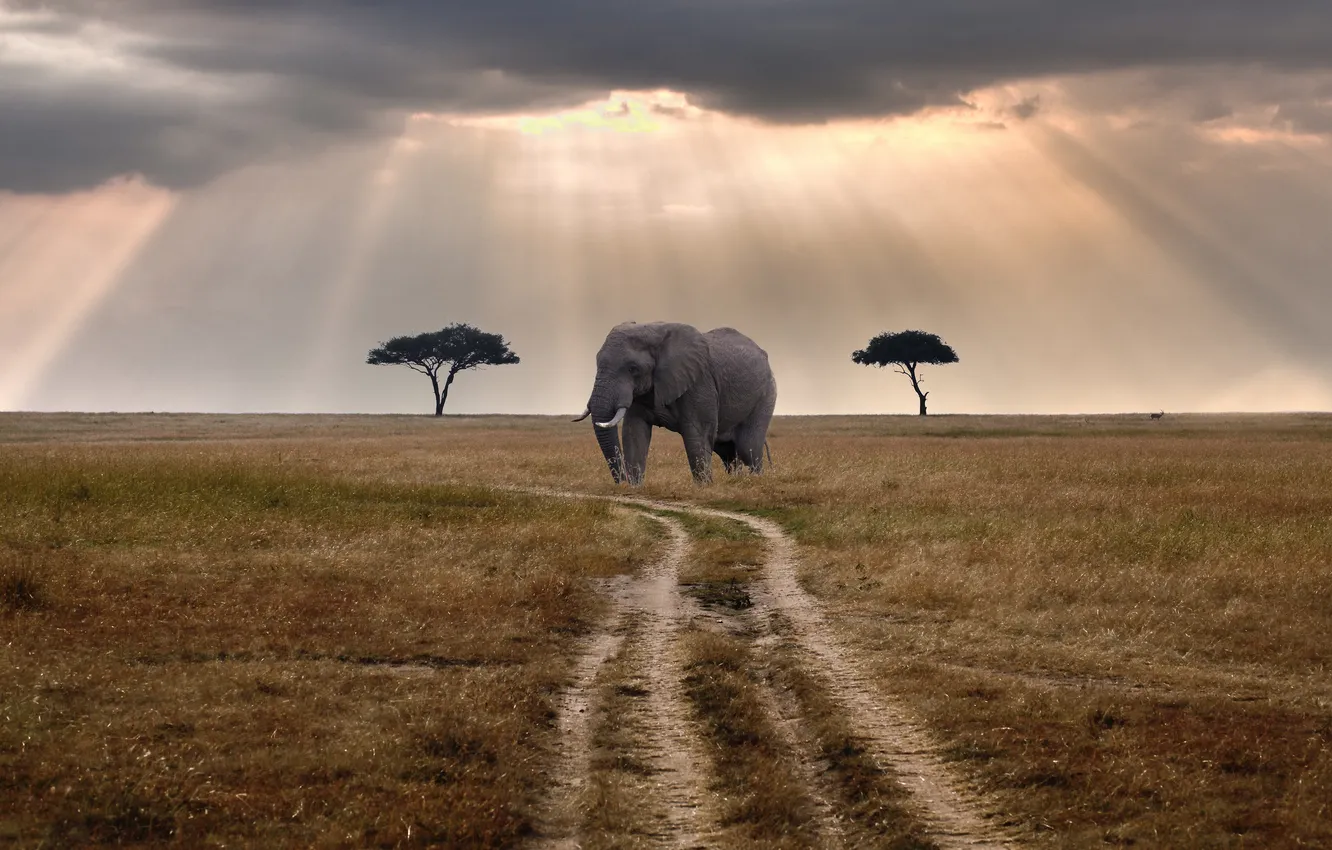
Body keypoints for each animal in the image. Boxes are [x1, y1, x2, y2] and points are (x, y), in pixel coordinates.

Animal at [574, 322, 777, 484]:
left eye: (633, 369)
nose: (622, 482)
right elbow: (634, 432)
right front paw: (635, 487)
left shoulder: (699, 382)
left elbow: (697, 434)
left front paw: (704, 488)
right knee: (727, 451)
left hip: (766, 395)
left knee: (748, 447)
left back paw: (756, 482)